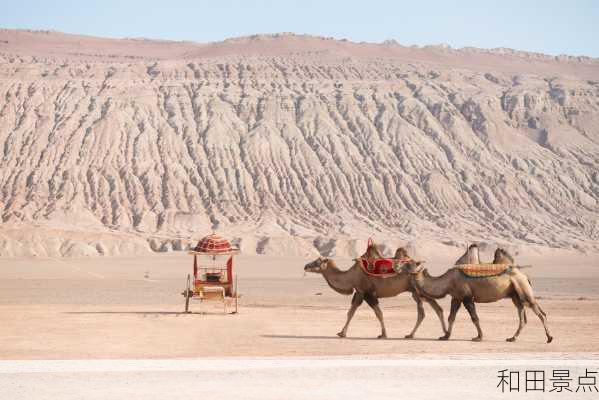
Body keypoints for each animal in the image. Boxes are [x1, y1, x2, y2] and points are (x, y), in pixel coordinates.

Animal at [302, 250, 448, 338]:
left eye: (317, 262)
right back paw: (442, 333)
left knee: (423, 312)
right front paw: (341, 333)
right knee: (437, 309)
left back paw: (412, 335)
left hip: (417, 290)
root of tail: (420, 265)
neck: (351, 276)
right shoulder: (359, 292)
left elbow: (378, 313)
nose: (305, 266)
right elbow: (351, 312)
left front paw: (383, 334)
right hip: (417, 291)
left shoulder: (367, 293)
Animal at [404, 247, 552, 344]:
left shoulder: (467, 297)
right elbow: (451, 317)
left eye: (410, 263)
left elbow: (474, 318)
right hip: (515, 295)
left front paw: (479, 337)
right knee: (522, 317)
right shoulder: (456, 297)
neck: (448, 281)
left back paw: (549, 338)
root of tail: (524, 275)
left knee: (540, 313)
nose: (400, 266)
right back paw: (512, 338)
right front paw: (445, 336)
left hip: (523, 290)